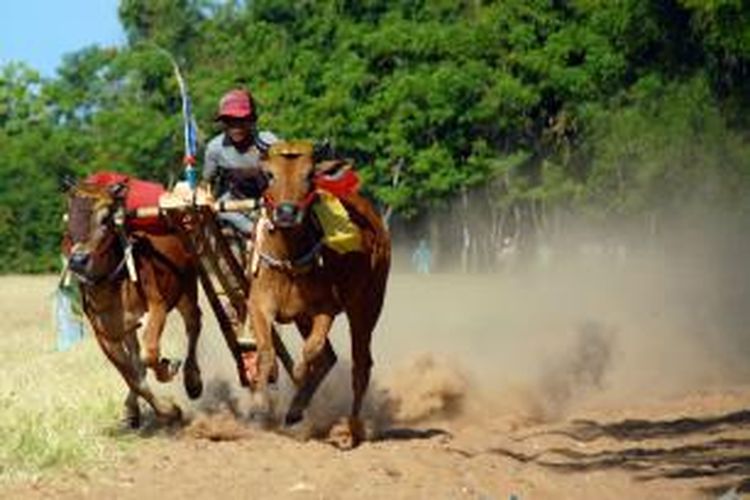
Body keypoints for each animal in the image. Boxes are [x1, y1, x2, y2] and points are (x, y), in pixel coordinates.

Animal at [65, 180, 203, 426]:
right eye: (70, 217)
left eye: (105, 218)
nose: (78, 260)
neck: (111, 284)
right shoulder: (105, 334)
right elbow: (132, 376)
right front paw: (168, 410)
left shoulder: (157, 307)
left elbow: (149, 354)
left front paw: (168, 369)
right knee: (136, 357)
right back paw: (131, 408)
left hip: (187, 291)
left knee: (193, 325)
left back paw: (192, 380)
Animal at [248, 142, 390, 450]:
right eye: (270, 174)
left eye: (309, 176)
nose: (286, 213)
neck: (289, 261)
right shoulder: (259, 304)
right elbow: (266, 352)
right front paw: (259, 405)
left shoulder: (326, 308)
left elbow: (310, 351)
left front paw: (299, 373)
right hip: (304, 317)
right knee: (330, 358)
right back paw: (294, 410)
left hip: (367, 305)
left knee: (360, 364)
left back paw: (351, 430)